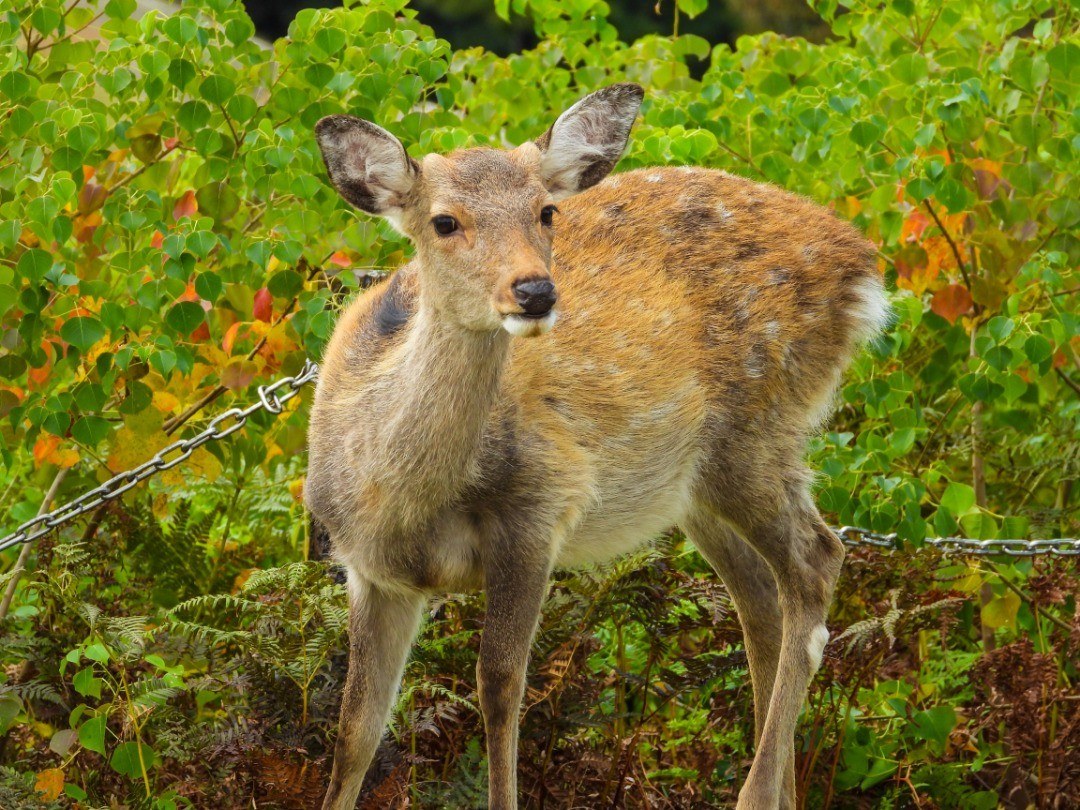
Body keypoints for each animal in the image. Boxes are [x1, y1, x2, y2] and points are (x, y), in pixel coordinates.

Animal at [305, 83, 889, 810]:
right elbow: (355, 728)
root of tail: (864, 269)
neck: (393, 498)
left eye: (546, 211)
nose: (535, 291)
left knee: (816, 564)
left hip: (757, 427)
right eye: (443, 221)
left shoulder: (539, 506)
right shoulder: (369, 571)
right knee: (762, 598)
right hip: (692, 484)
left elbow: (499, 688)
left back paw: (757, 793)